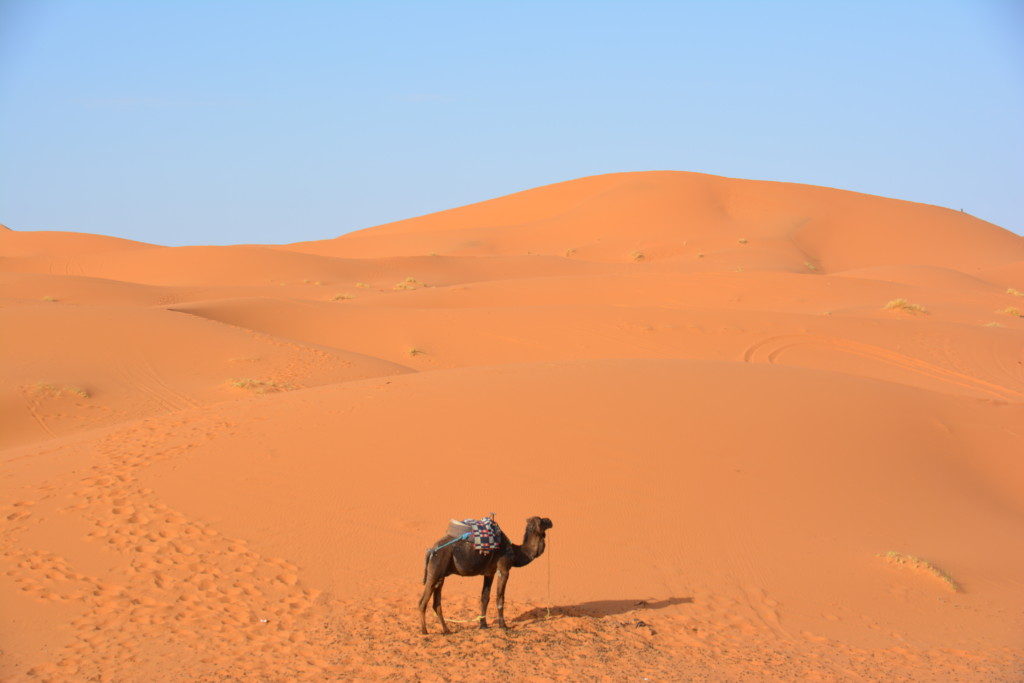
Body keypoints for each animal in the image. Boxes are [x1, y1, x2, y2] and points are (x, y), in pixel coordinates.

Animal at [417, 518, 552, 634]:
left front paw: (483, 625)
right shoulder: (504, 569)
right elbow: (500, 598)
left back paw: (447, 630)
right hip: (435, 570)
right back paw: (424, 631)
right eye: (542, 521)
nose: (550, 521)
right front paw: (503, 625)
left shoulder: (489, 573)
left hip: (441, 576)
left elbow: (485, 598)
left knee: (436, 603)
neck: (516, 553)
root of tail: (431, 550)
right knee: (422, 602)